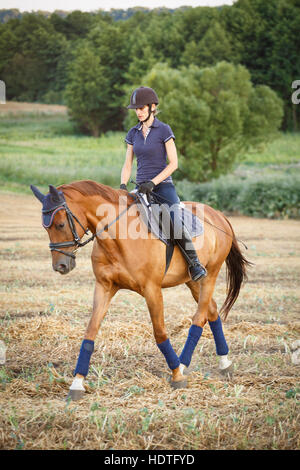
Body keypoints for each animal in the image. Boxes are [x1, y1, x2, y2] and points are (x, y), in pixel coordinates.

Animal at [30, 180, 251, 400]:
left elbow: (160, 333)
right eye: (45, 227)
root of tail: (219, 216)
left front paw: (176, 376)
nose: (60, 266)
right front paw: (77, 383)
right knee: (211, 311)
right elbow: (90, 332)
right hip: (192, 281)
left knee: (199, 317)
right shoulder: (104, 287)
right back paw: (224, 363)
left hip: (210, 275)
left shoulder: (152, 289)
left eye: (60, 224)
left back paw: (182, 365)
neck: (117, 237)